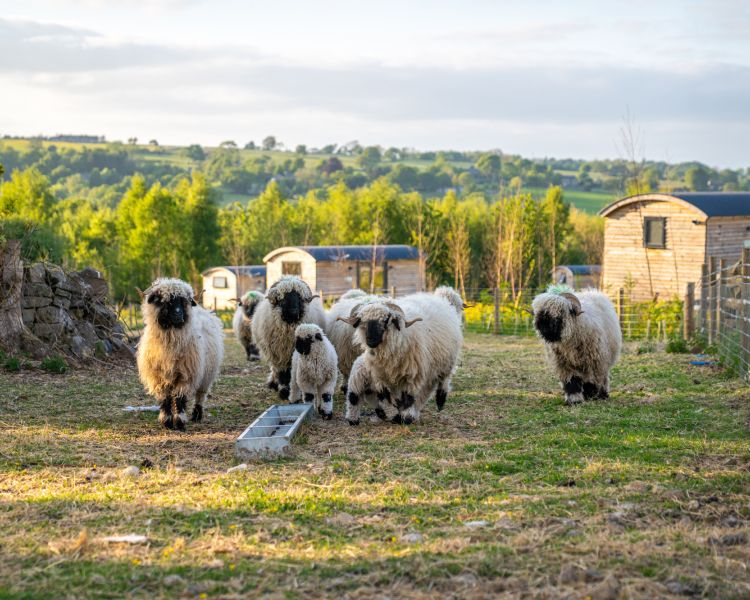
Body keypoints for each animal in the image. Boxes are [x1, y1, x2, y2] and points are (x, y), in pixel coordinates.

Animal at [136, 278, 224, 430]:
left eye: (184, 301)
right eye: (165, 301)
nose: (178, 314)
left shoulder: (185, 374)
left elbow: (179, 397)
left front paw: (179, 421)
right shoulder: (158, 376)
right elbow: (165, 398)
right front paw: (166, 421)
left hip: (207, 374)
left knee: (200, 395)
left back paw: (197, 415)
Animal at [338, 291, 463, 425]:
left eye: (386, 320)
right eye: (363, 321)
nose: (370, 340)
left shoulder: (413, 375)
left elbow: (408, 398)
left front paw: (405, 417)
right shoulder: (380, 376)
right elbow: (386, 397)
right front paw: (395, 415)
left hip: (446, 363)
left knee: (442, 381)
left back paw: (439, 401)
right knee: (427, 390)